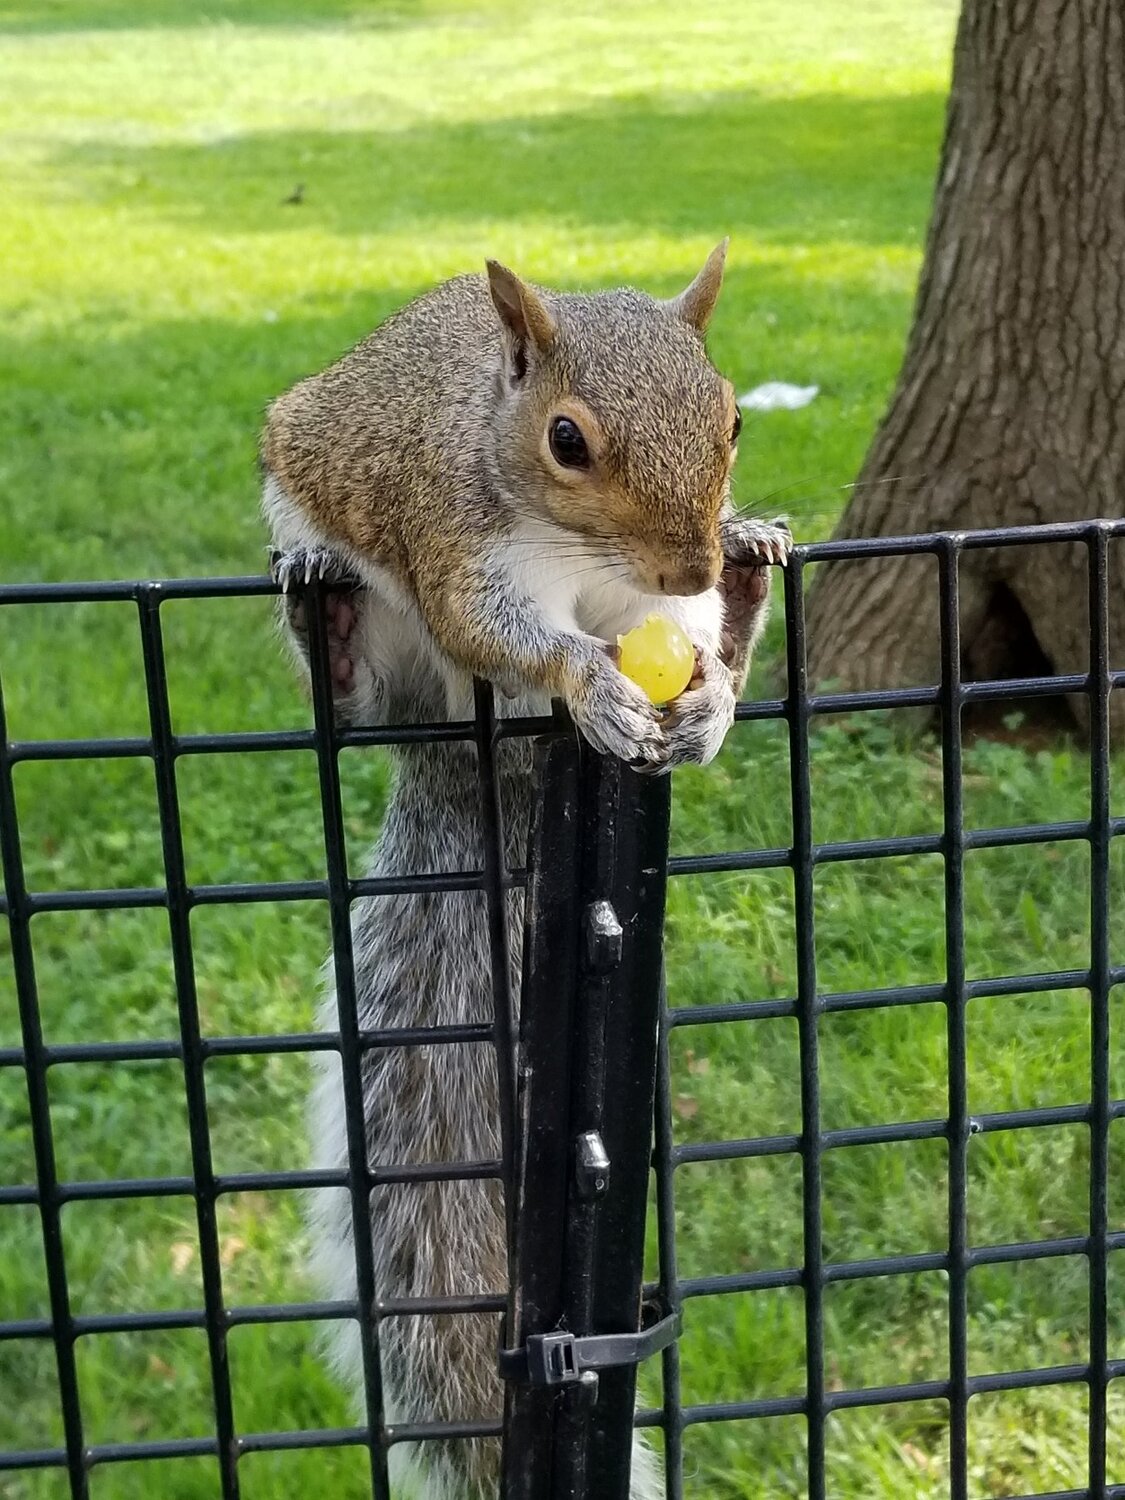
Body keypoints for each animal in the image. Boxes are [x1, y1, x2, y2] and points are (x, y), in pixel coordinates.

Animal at [261, 242, 791, 1499]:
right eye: (566, 440)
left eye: (735, 418)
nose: (690, 558)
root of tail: (469, 761)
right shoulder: (463, 542)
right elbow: (504, 630)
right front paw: (587, 679)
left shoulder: (650, 600)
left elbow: (682, 642)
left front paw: (706, 688)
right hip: (379, 630)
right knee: (358, 694)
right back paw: (326, 617)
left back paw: (749, 583)